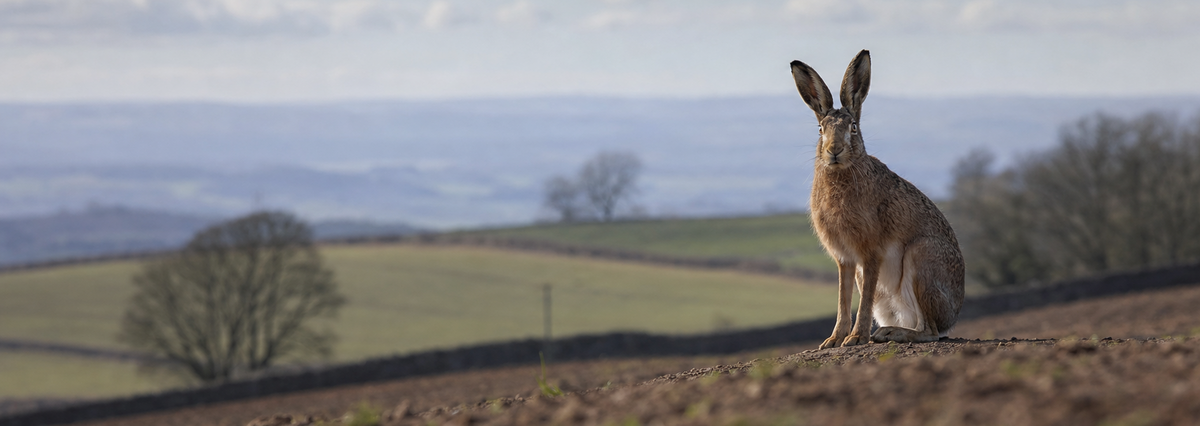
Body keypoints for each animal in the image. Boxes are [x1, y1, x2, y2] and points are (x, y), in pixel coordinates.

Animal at [790, 50, 965, 349]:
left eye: (853, 127)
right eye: (820, 129)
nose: (834, 150)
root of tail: (953, 315)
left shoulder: (870, 253)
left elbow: (864, 299)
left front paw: (855, 338)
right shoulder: (846, 260)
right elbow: (843, 298)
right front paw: (833, 340)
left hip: (922, 259)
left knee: (929, 331)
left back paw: (889, 334)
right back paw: (885, 332)